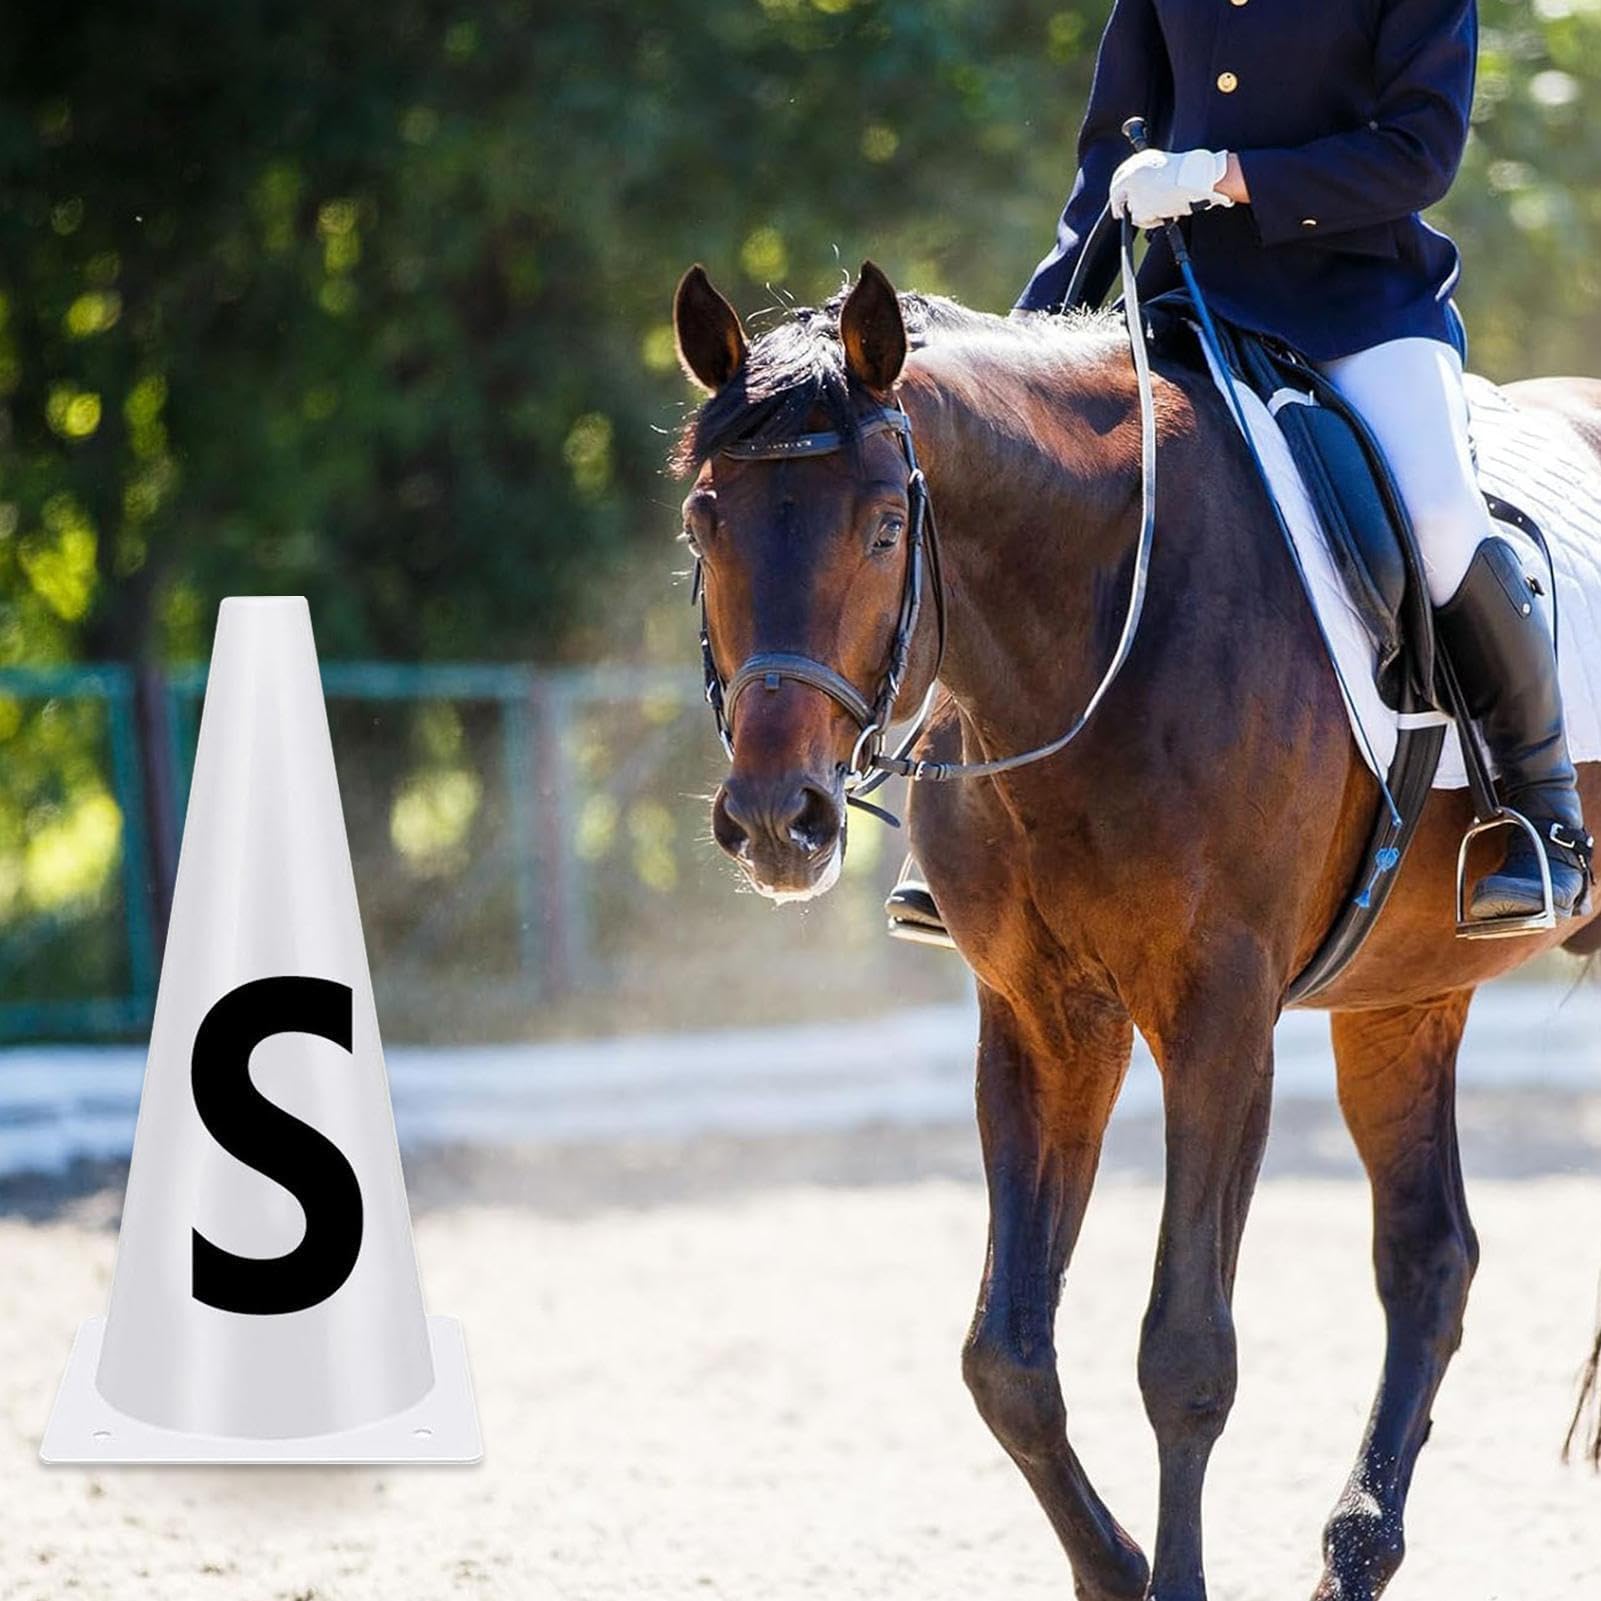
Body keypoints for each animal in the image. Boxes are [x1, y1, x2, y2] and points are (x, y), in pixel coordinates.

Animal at [669, 257, 1601, 1601]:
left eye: (885, 526)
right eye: (703, 524)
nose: (773, 820)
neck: (1093, 623)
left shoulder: (1218, 1018)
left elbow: (1183, 1351)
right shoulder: (1040, 1020)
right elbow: (1003, 1357)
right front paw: (1111, 1568)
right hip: (1405, 990)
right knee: (1428, 1256)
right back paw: (1352, 1552)